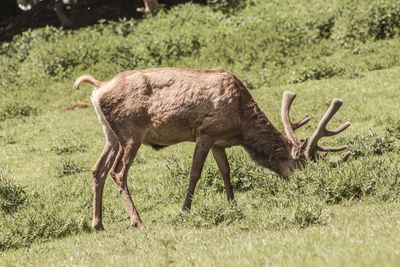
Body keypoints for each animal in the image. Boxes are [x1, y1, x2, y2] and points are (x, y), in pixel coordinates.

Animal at [74, 66, 350, 230]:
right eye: (299, 166)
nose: (304, 186)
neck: (240, 124)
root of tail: (97, 90)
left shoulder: (219, 140)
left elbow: (225, 171)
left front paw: (233, 204)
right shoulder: (205, 132)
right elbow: (195, 173)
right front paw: (184, 211)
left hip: (111, 135)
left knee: (97, 169)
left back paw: (97, 223)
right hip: (131, 132)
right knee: (118, 172)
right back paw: (137, 221)